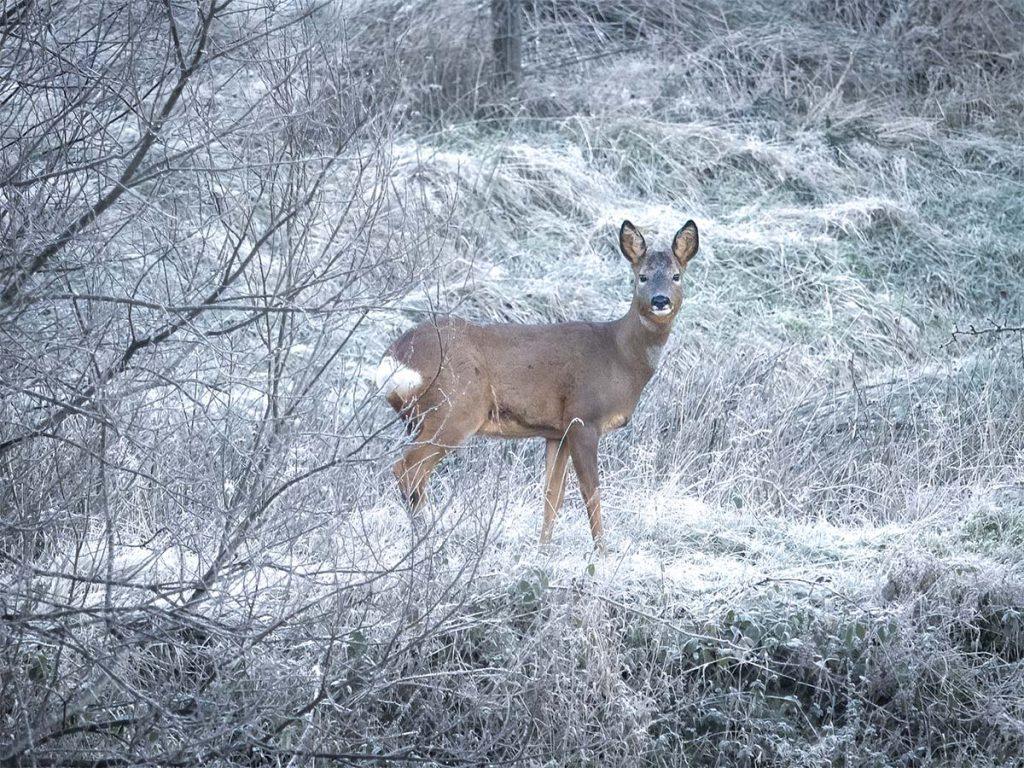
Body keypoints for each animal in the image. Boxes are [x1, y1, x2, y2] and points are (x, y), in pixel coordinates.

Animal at [375, 219, 699, 551]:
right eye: (641, 277)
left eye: (676, 276)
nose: (660, 300)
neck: (619, 356)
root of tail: (395, 358)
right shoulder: (584, 418)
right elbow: (590, 491)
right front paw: (602, 551)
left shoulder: (556, 432)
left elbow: (552, 495)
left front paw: (543, 549)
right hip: (455, 410)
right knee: (407, 469)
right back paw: (425, 540)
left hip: (422, 418)